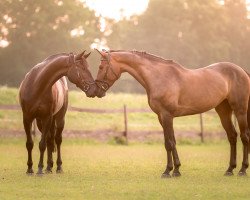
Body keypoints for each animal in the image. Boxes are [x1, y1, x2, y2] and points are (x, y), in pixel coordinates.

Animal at [94, 49, 250, 177]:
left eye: (101, 67)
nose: (97, 90)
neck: (159, 77)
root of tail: (241, 71)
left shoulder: (167, 115)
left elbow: (169, 143)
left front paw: (169, 171)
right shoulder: (161, 117)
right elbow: (170, 142)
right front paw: (175, 170)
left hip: (240, 111)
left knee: (244, 136)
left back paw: (242, 170)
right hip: (223, 111)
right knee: (232, 136)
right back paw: (230, 169)